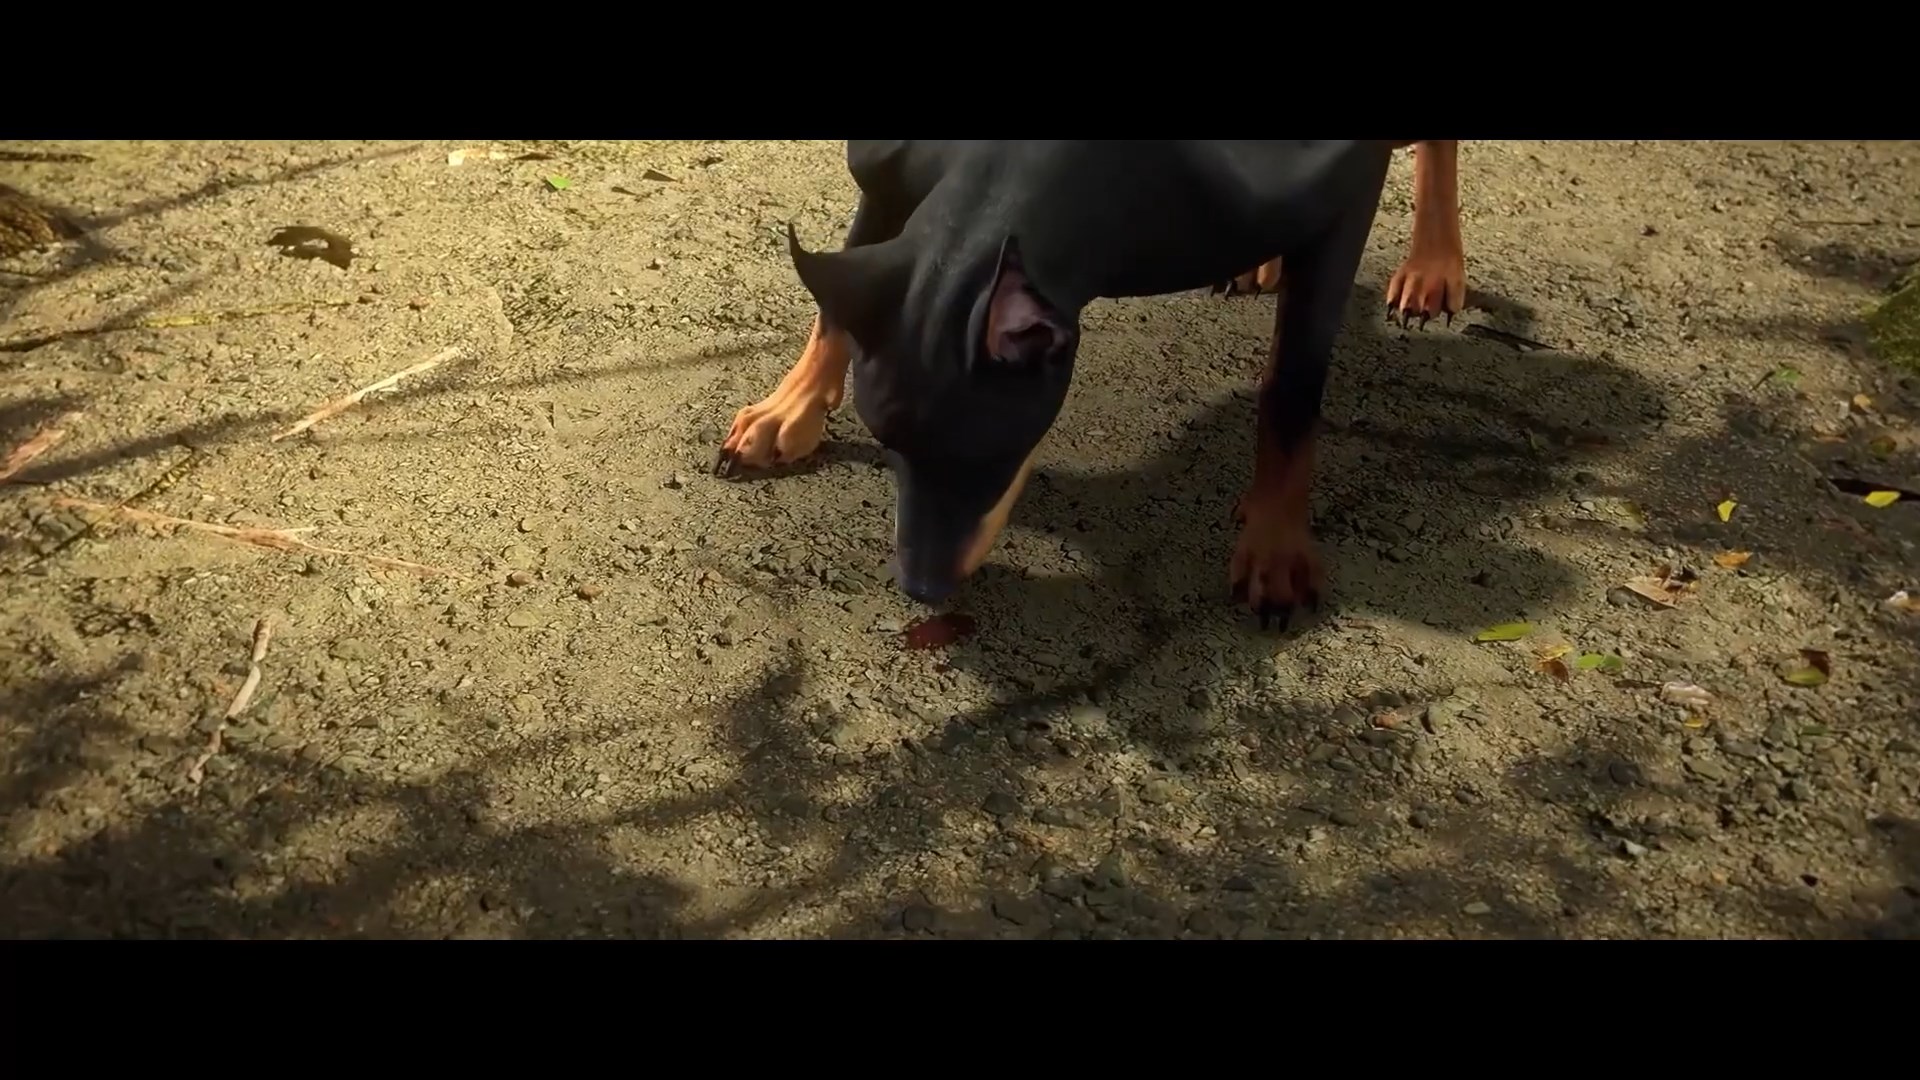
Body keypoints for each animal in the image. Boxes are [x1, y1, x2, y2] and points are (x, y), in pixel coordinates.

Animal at [711, 141, 1465, 628]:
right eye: (888, 445)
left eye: (988, 459)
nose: (921, 591)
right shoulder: (888, 172)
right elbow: (842, 299)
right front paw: (789, 408)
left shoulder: (1344, 192)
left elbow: (1292, 387)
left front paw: (1276, 540)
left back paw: (1434, 262)